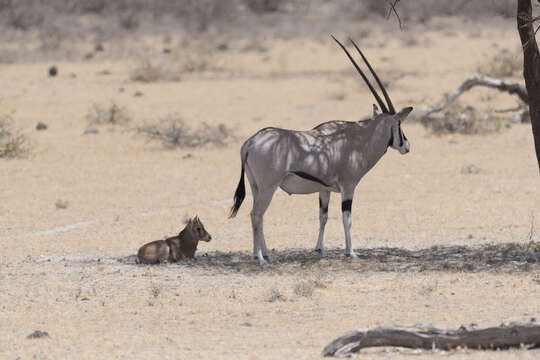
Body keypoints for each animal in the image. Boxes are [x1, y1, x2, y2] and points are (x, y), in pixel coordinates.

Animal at [229, 36, 414, 266]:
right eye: (399, 123)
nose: (406, 146)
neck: (359, 138)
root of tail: (250, 143)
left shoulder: (324, 190)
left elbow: (323, 217)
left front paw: (320, 250)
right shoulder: (348, 187)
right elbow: (346, 218)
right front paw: (351, 252)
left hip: (256, 187)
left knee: (258, 215)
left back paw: (263, 255)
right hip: (268, 187)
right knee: (256, 215)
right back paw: (262, 259)